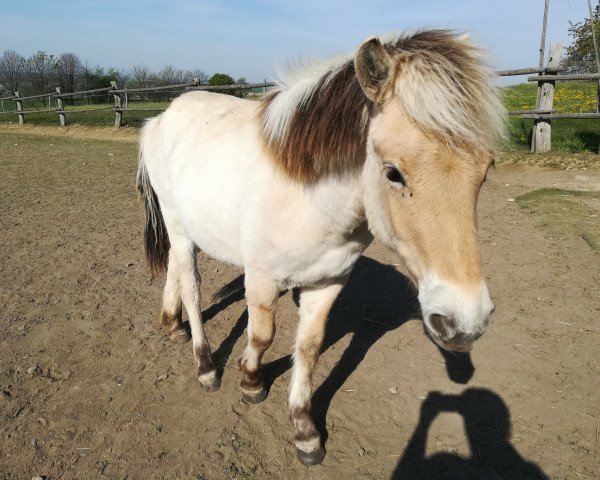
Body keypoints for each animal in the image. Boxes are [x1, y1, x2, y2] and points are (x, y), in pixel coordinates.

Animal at [135, 30, 502, 464]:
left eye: (486, 170)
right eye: (393, 173)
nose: (465, 322)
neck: (310, 197)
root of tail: (161, 117)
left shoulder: (328, 281)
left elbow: (309, 348)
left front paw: (305, 431)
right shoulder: (262, 278)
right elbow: (262, 336)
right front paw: (251, 381)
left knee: (175, 269)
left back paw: (171, 322)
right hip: (177, 223)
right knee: (190, 285)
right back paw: (205, 366)